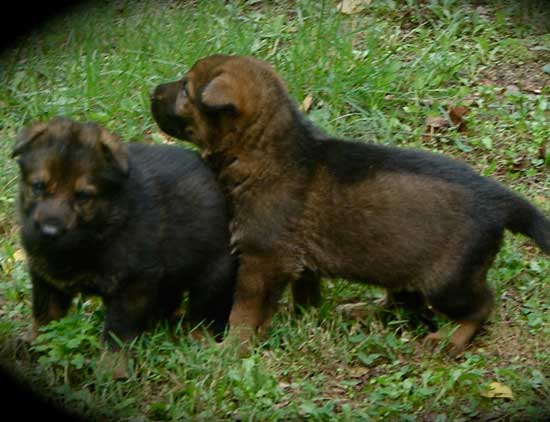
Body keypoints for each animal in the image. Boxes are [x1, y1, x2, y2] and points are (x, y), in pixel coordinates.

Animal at [12, 117, 236, 354]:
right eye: (38, 186)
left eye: (83, 196)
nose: (49, 232)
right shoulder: (45, 277)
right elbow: (44, 317)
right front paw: (33, 345)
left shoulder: (132, 285)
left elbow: (117, 336)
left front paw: (112, 364)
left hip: (215, 273)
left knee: (206, 311)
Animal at [151, 52, 550, 356]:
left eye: (185, 89)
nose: (153, 90)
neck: (265, 149)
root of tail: (498, 198)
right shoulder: (298, 262)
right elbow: (305, 294)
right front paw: (303, 320)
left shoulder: (262, 259)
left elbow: (244, 311)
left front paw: (232, 349)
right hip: (402, 265)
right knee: (402, 304)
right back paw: (358, 312)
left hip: (449, 282)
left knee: (482, 306)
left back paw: (452, 339)